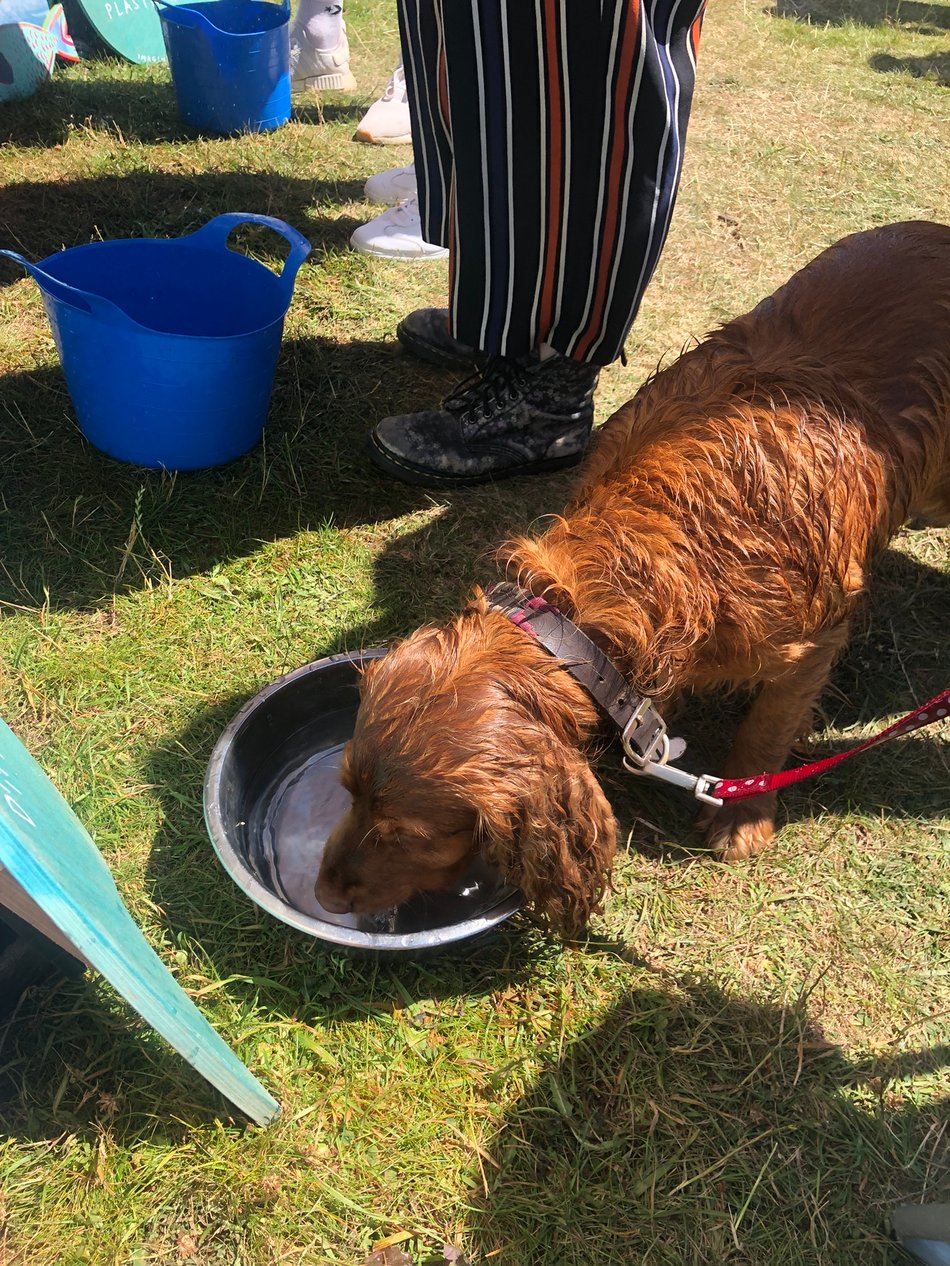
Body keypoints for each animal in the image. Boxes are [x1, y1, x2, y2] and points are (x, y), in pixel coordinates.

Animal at [317, 220, 950, 931]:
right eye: (346, 789)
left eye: (408, 836)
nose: (324, 896)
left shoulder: (811, 643)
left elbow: (765, 731)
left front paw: (743, 814)